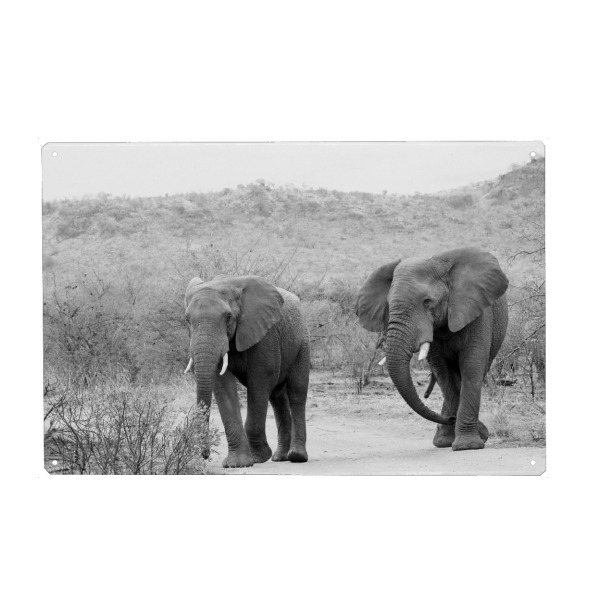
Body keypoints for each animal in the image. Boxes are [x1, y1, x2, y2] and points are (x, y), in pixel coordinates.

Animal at [184, 275, 310, 468]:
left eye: (228, 317)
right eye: (187, 320)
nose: (204, 455)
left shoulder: (265, 334)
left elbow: (260, 381)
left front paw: (258, 457)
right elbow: (223, 387)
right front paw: (237, 463)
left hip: (302, 342)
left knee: (297, 392)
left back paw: (296, 456)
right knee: (277, 398)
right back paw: (280, 457)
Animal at [356, 247, 508, 451]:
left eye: (427, 301)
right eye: (389, 305)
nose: (450, 419)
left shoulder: (477, 312)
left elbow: (471, 366)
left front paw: (467, 445)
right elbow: (443, 372)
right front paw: (454, 440)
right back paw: (443, 439)